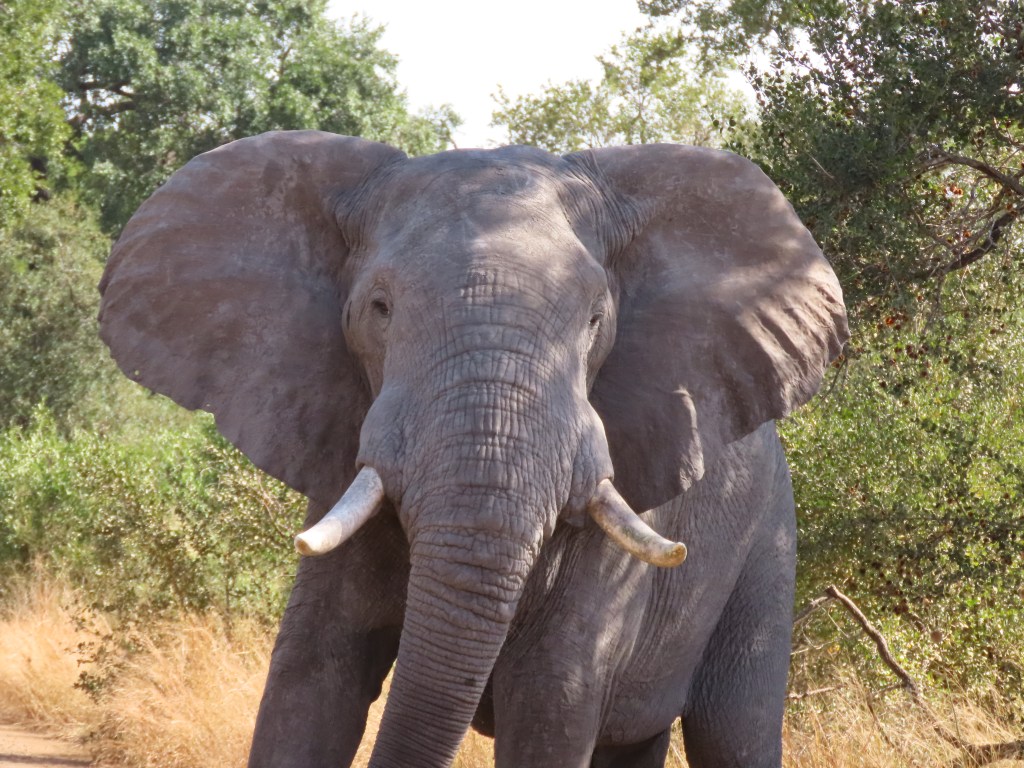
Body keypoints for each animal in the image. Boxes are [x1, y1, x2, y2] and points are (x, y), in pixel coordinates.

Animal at [98, 130, 848, 768]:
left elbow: (551, 701)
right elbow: (311, 678)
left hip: (767, 541)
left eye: (596, 321)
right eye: (379, 308)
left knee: (734, 729)